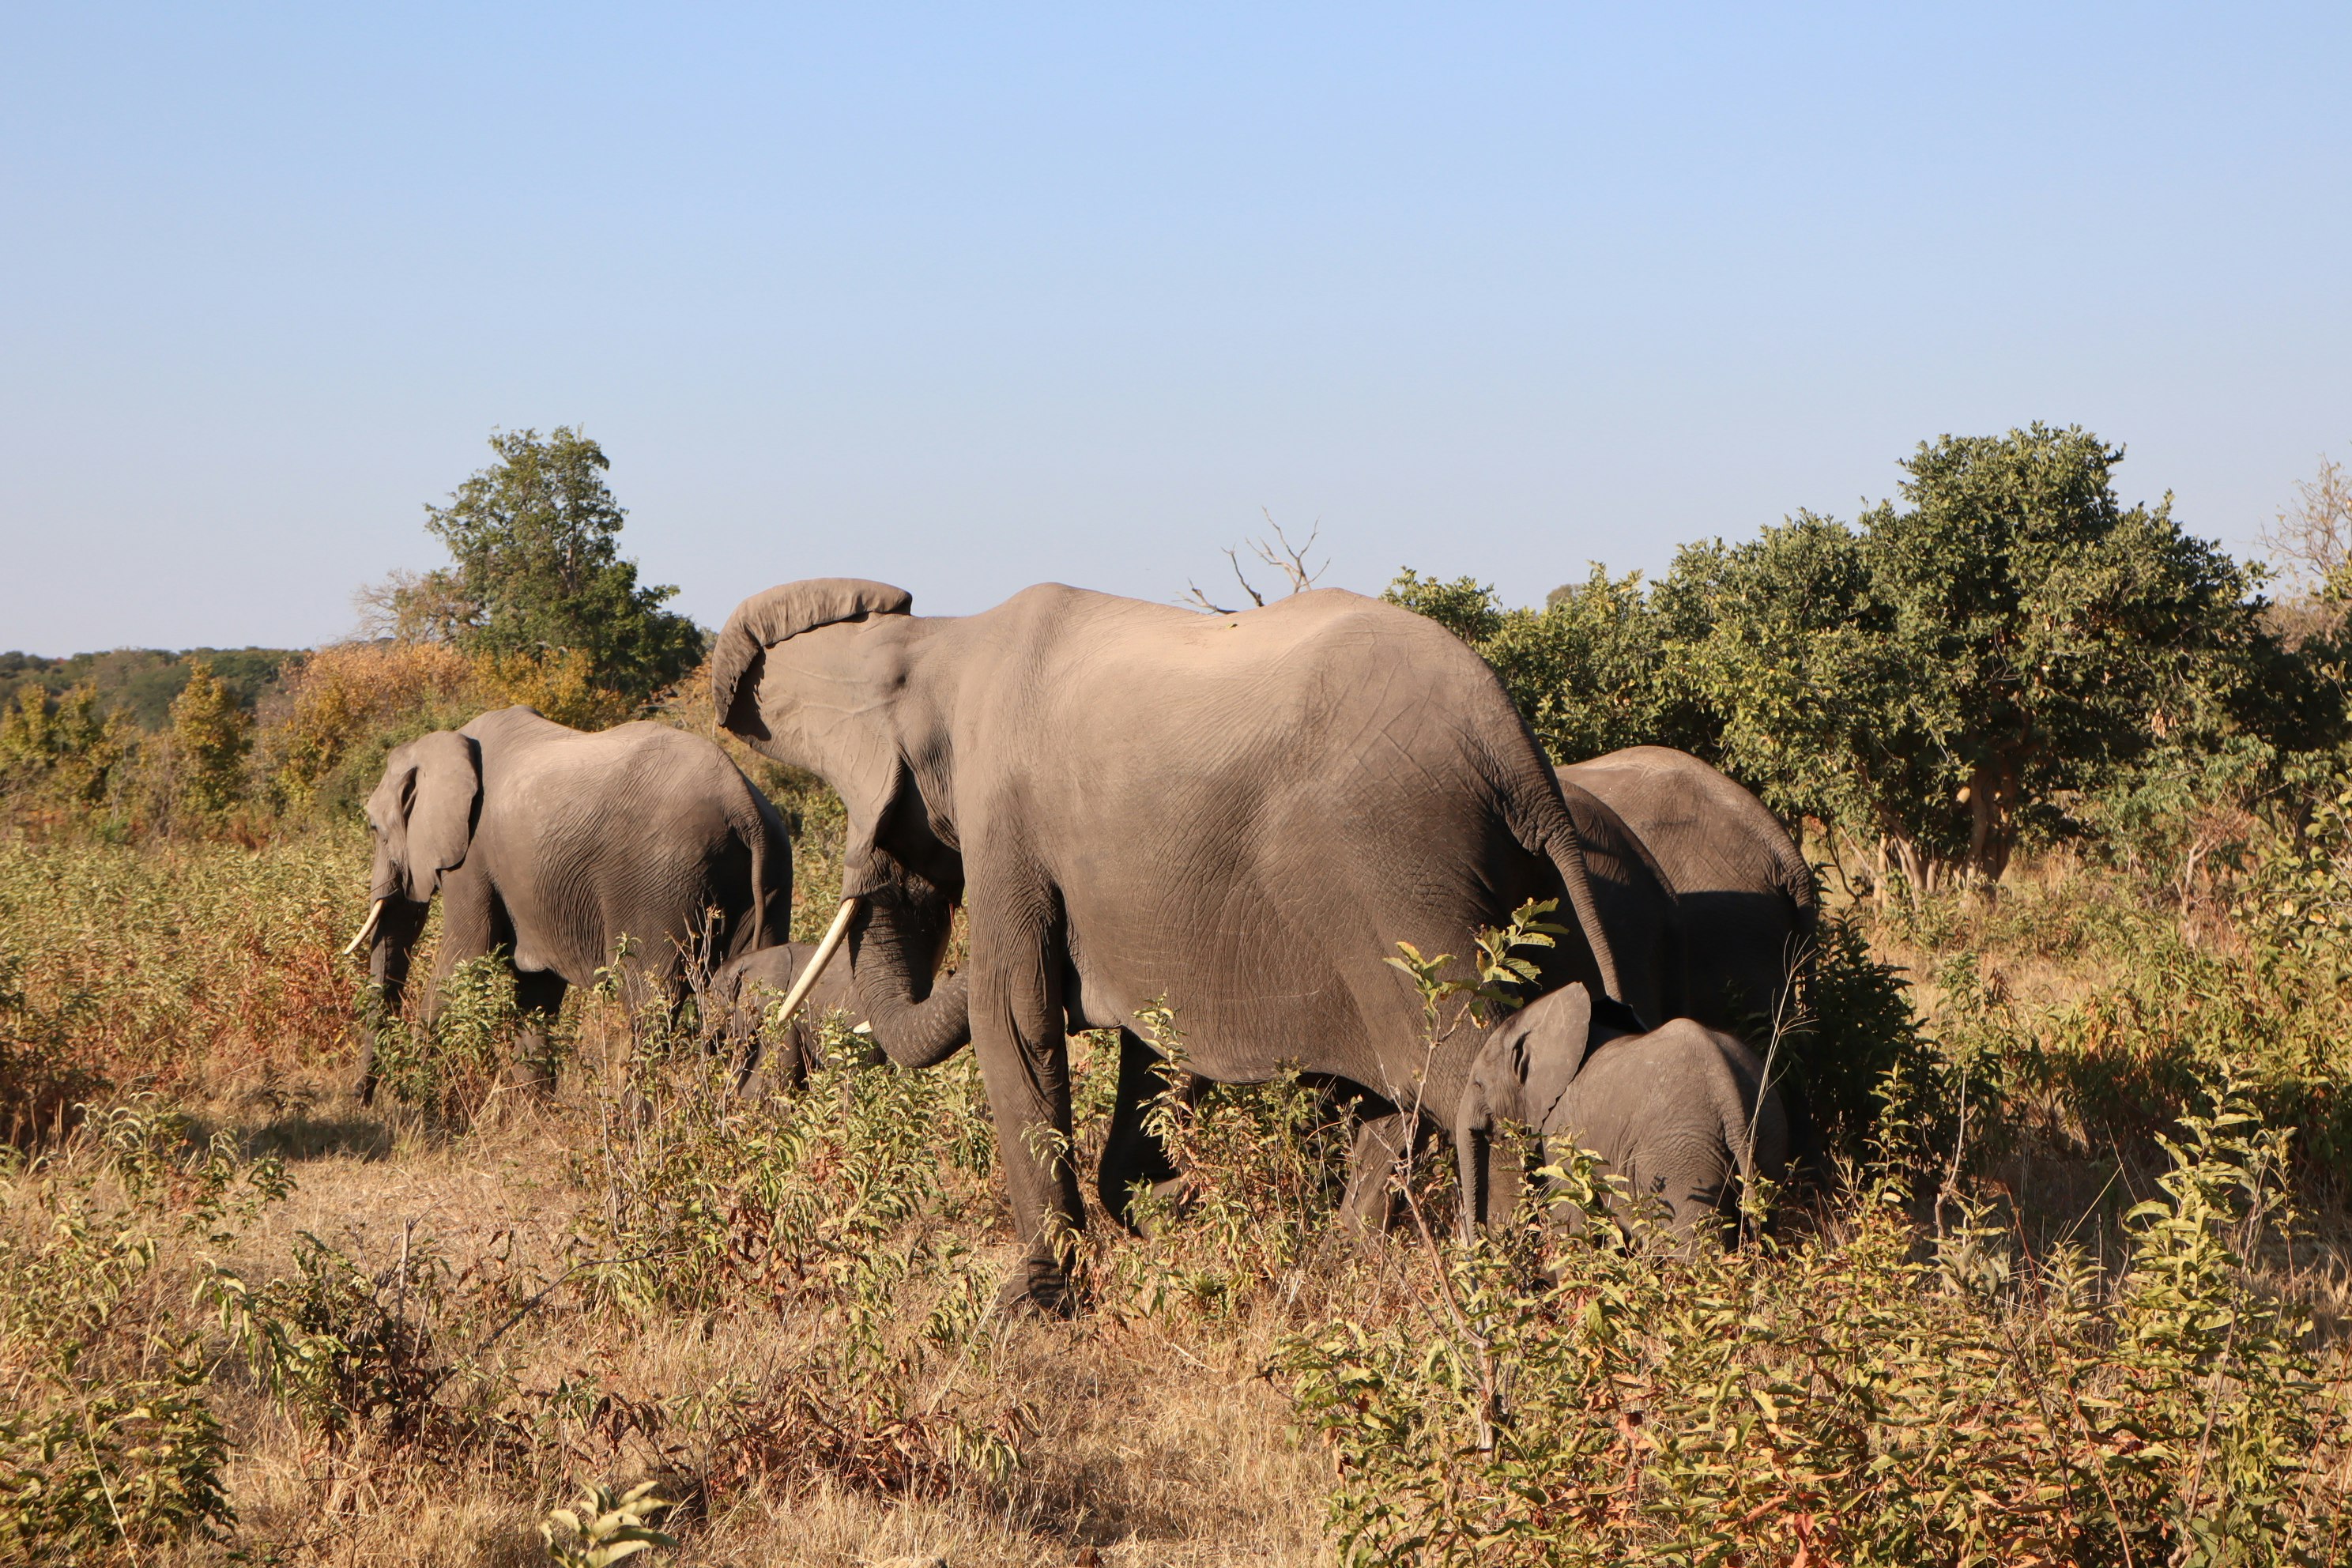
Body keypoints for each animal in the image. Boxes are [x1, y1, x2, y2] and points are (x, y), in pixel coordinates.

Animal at [348, 705, 792, 1100]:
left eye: (374, 828)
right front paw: (531, 1118)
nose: (361, 1098)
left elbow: (464, 960)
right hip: (772, 875)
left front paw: (411, 1108)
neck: (447, 742)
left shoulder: (472, 859)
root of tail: (743, 805)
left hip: (662, 880)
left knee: (651, 1007)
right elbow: (537, 992)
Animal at [711, 578, 1630, 1311]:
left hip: (1398, 865)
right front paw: (1165, 1213)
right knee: (1409, 1088)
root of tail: (1516, 752)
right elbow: (1149, 1044)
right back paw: (1351, 1261)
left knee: (1455, 1062)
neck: (941, 637)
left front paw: (1030, 1306)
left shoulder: (1005, 822)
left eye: (900, 824)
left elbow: (1013, 1019)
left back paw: (1507, 1290)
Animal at [1454, 982, 1789, 1246]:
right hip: (1767, 1134)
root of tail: (1727, 1093)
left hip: (1681, 1159)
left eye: (1479, 1084)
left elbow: (1573, 1226)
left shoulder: (1562, 1134)